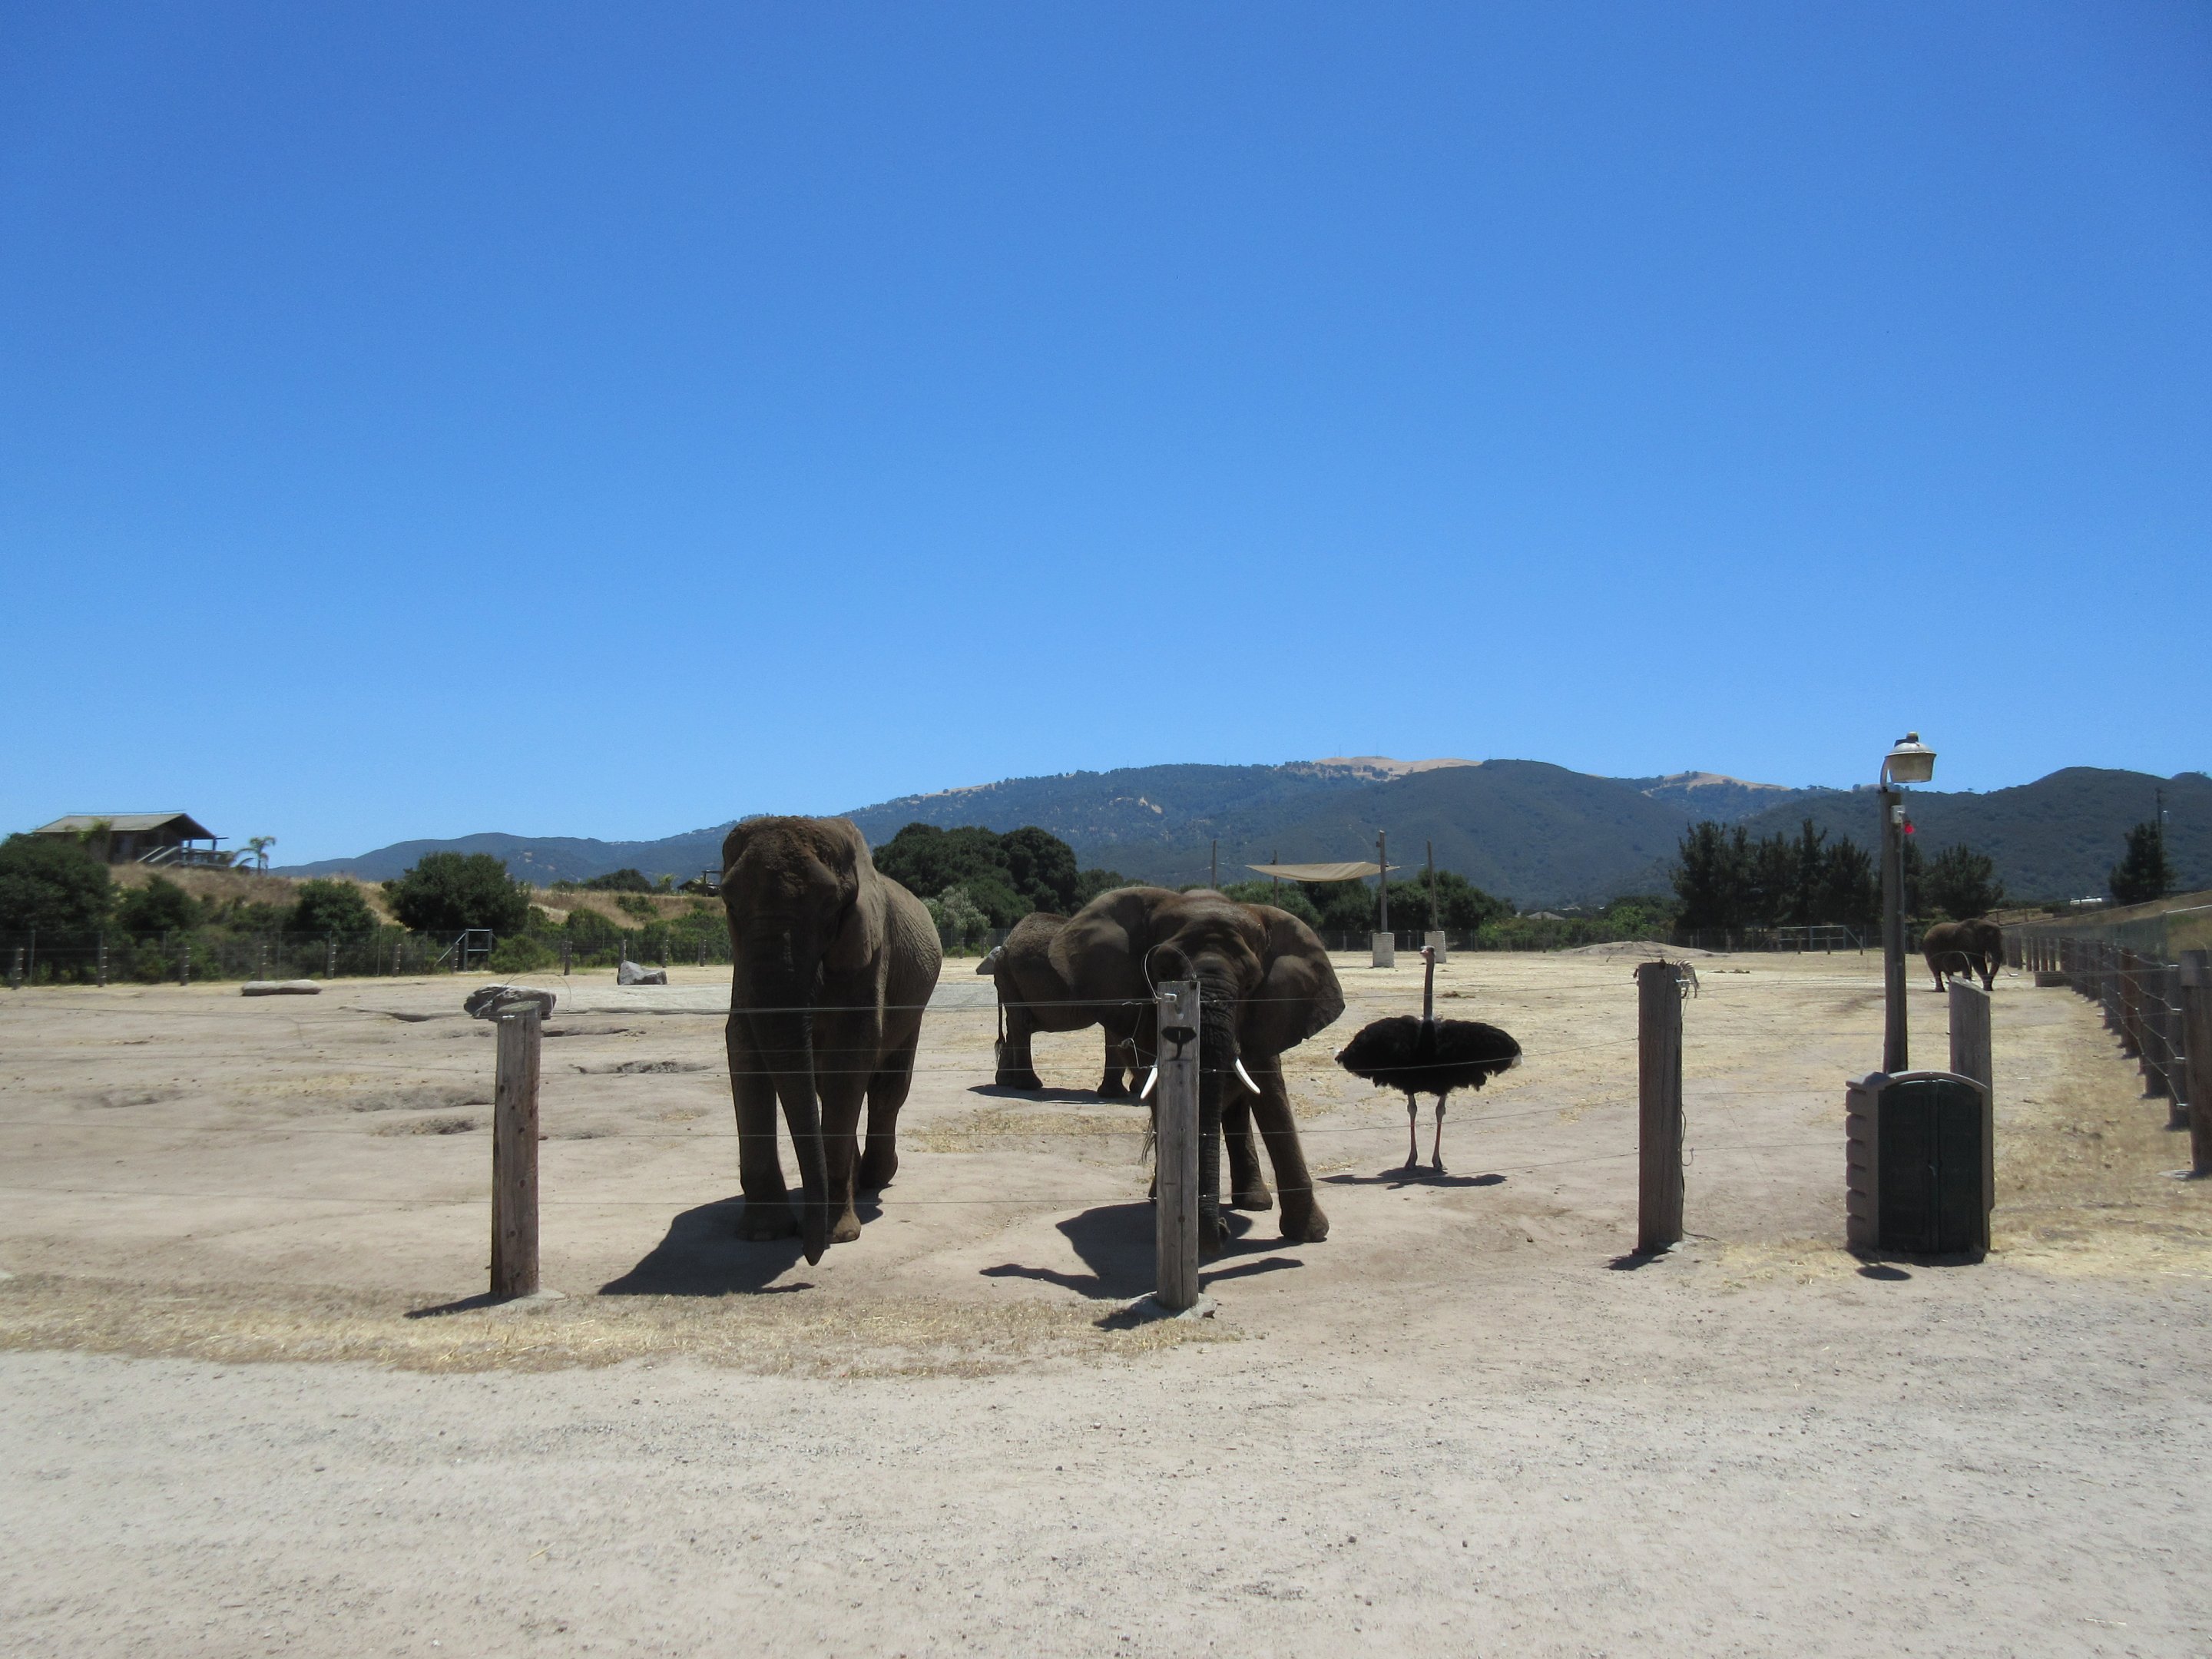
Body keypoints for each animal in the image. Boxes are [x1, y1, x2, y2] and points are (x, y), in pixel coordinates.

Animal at [720, 816, 942, 1264]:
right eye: (728, 903)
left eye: (830, 908)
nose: (811, 1254)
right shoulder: (742, 960)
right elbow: (744, 1043)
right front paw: (763, 1236)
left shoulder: (869, 950)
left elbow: (850, 1051)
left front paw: (837, 1236)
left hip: (915, 1004)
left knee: (888, 1087)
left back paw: (876, 1178)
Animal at [977, 910, 1147, 1095]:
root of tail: (1005, 946)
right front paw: (1117, 1094)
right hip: (1012, 977)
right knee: (1022, 1022)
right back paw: (1029, 1085)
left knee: (1015, 1024)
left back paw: (1006, 1082)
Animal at [1052, 886, 1344, 1247]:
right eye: (1163, 975)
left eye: (1251, 985)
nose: (1221, 1230)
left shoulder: (1268, 1017)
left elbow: (1272, 1098)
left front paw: (1310, 1236)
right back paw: (1163, 1199)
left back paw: (1254, 1203)